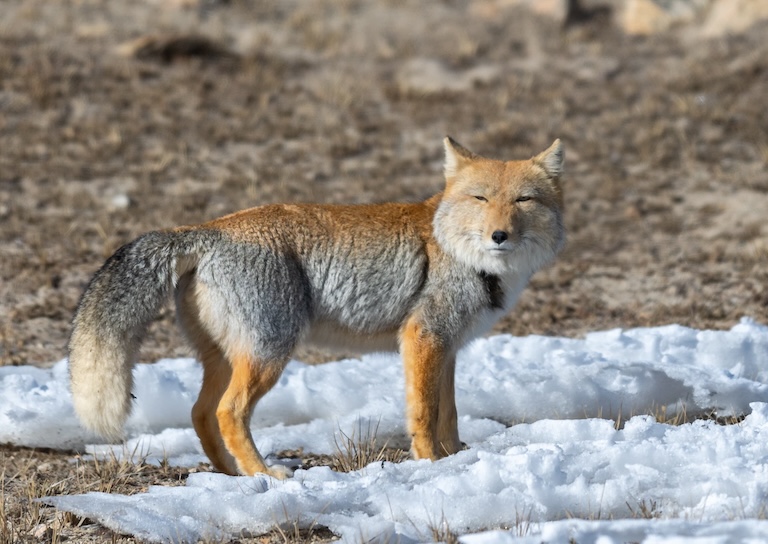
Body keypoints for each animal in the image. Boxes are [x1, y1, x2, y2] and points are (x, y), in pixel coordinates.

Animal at [68, 137, 565, 479]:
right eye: (480, 198)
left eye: (523, 200)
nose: (499, 235)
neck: (460, 253)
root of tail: (208, 228)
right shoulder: (424, 338)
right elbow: (425, 415)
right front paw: (430, 464)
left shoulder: (448, 348)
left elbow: (450, 414)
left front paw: (455, 458)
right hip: (269, 354)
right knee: (229, 412)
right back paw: (264, 474)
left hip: (227, 359)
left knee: (200, 413)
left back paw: (233, 475)